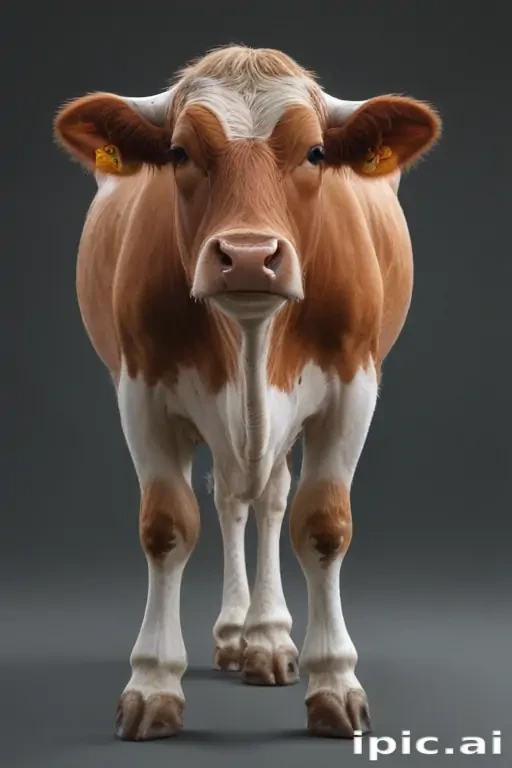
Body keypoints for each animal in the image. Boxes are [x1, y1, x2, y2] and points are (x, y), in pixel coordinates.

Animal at [54, 44, 441, 741]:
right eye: (179, 151)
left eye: (315, 152)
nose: (250, 254)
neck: (250, 342)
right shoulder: (141, 390)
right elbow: (166, 526)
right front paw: (153, 684)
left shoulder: (354, 386)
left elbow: (322, 525)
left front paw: (333, 681)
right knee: (233, 498)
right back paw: (239, 632)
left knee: (268, 498)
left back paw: (266, 637)